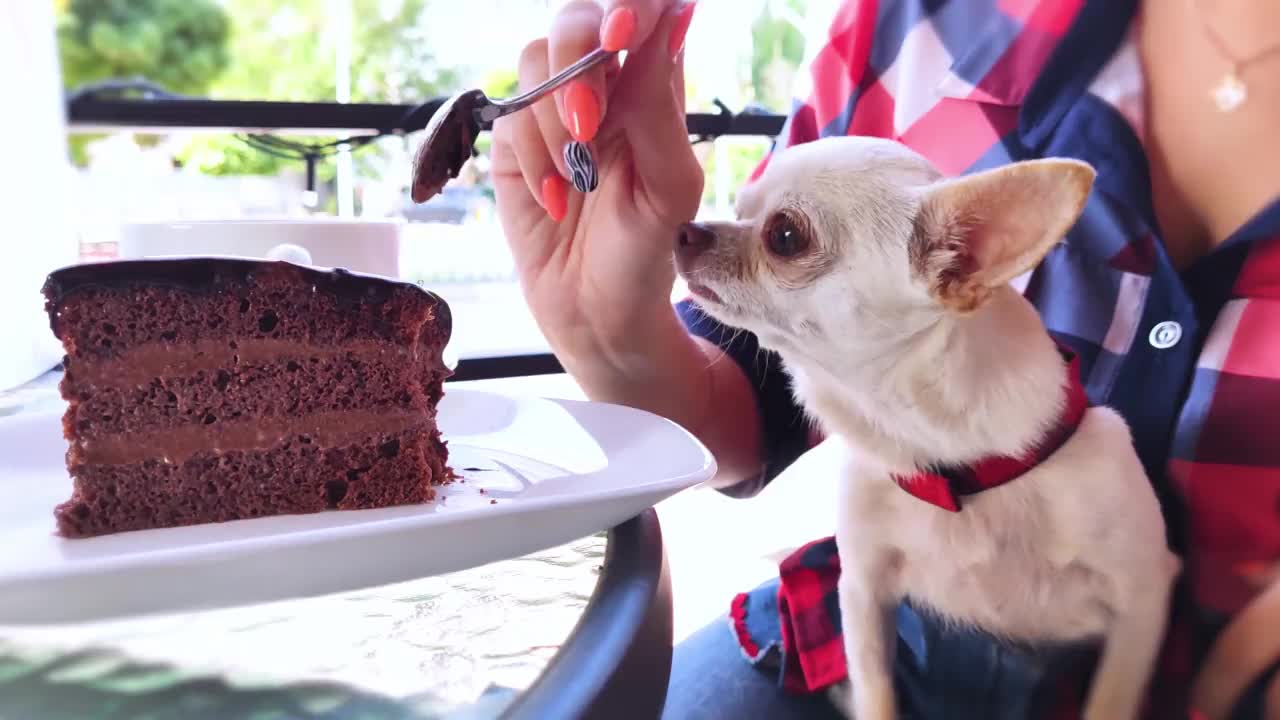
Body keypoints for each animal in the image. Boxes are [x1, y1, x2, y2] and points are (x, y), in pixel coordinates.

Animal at [675, 135, 1182, 717]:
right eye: (739, 210)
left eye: (784, 236)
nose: (686, 229)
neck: (957, 471)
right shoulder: (863, 591)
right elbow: (876, 691)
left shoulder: (1141, 604)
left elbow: (1109, 701)